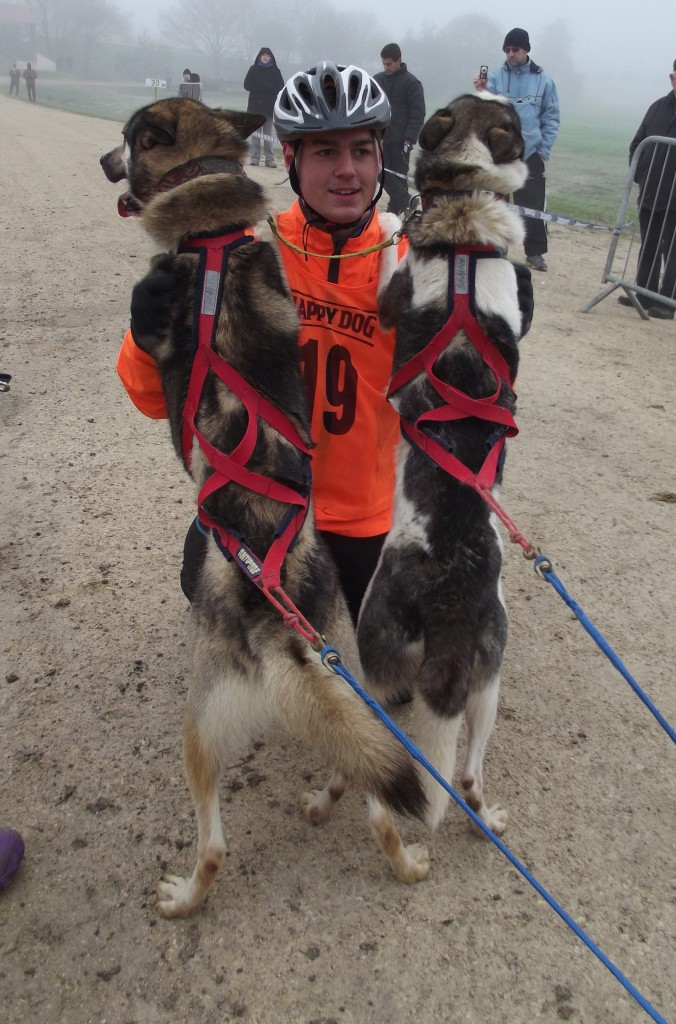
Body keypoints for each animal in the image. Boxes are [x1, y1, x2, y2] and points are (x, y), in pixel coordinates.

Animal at [99, 97, 428, 921]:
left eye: (127, 139)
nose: (102, 162)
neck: (214, 237)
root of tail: (281, 634)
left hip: (199, 730)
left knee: (214, 846)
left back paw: (183, 897)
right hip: (358, 701)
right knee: (374, 796)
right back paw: (370, 834)